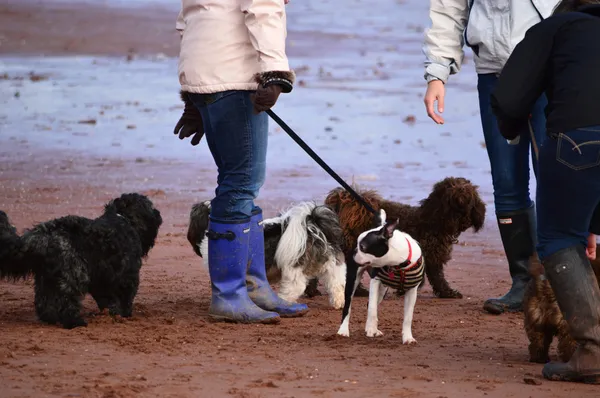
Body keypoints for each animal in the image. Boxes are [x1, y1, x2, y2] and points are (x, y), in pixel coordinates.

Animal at [0, 194, 163, 330]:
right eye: (150, 206)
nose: (158, 214)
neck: (123, 218)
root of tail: (44, 234)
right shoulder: (128, 277)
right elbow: (125, 298)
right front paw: (124, 314)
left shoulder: (101, 278)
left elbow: (106, 299)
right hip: (74, 274)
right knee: (67, 301)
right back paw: (75, 322)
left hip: (45, 277)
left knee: (43, 301)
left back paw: (50, 318)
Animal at [324, 176, 488, 296]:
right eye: (451, 187)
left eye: (465, 186)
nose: (461, 190)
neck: (438, 220)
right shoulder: (429, 256)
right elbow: (436, 276)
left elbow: (435, 276)